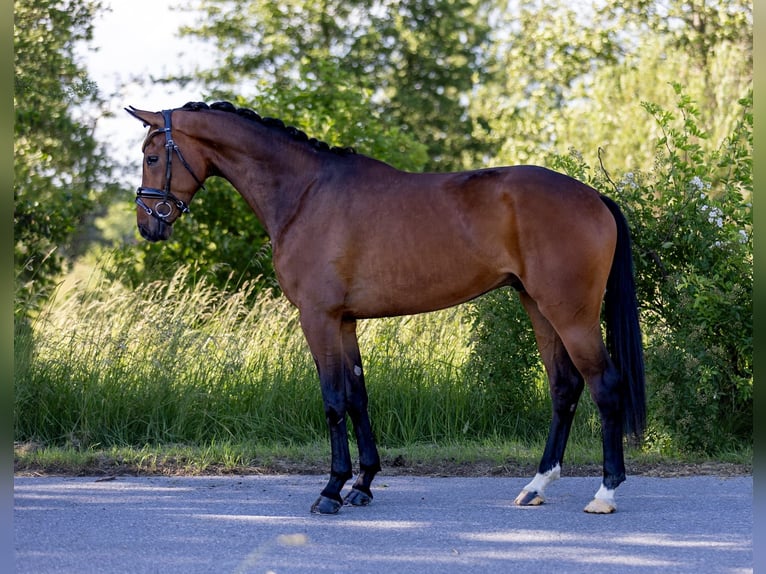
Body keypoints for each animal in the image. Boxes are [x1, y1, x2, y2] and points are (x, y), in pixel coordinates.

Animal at [126, 101, 645, 515]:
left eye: (152, 157)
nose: (148, 226)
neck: (306, 193)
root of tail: (593, 196)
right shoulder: (345, 322)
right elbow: (358, 397)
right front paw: (363, 484)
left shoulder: (318, 318)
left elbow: (333, 400)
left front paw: (331, 491)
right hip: (538, 306)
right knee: (564, 387)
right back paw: (537, 485)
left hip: (571, 314)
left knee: (604, 385)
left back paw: (605, 493)